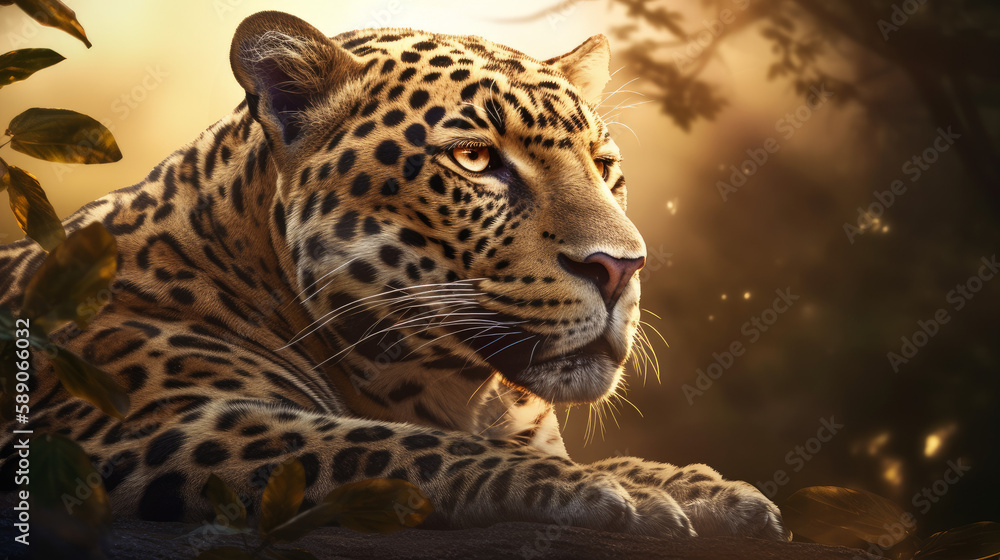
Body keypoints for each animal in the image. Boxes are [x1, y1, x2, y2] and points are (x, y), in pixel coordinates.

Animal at [0, 11, 786, 540]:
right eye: (475, 159)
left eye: (605, 167)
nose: (622, 267)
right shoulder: (145, 424)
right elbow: (394, 444)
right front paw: (603, 492)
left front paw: (702, 489)